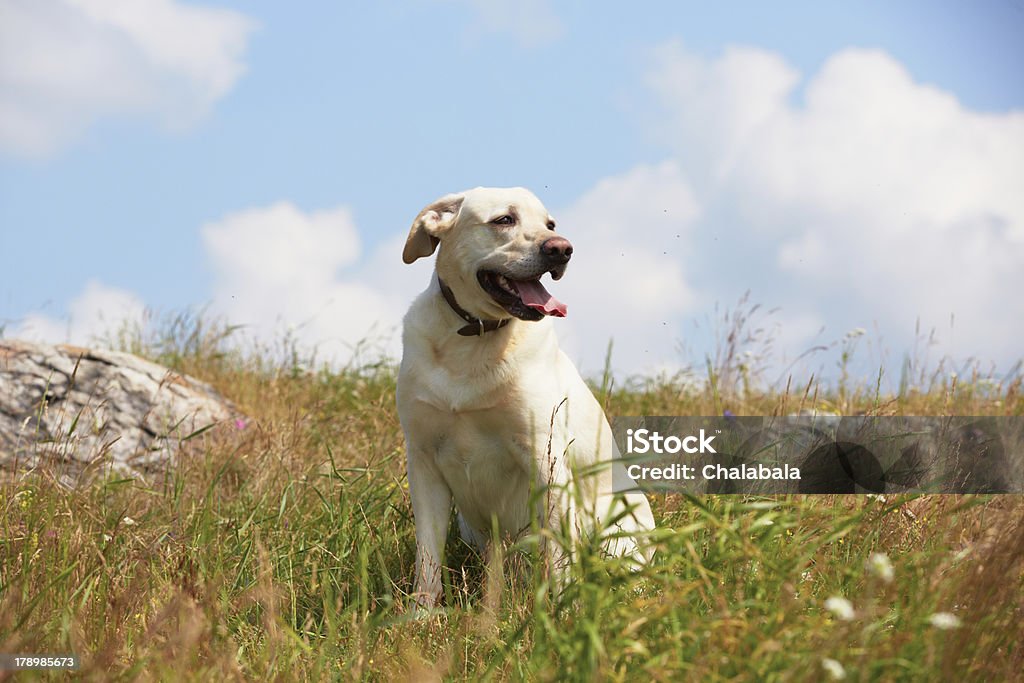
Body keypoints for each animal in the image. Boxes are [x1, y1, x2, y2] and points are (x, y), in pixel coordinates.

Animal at [395, 185, 651, 602]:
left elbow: (560, 556)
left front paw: (562, 609)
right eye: (504, 220)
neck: (475, 339)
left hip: (612, 529)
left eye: (550, 224)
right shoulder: (424, 460)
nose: (562, 249)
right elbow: (428, 560)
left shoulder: (544, 455)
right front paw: (422, 614)